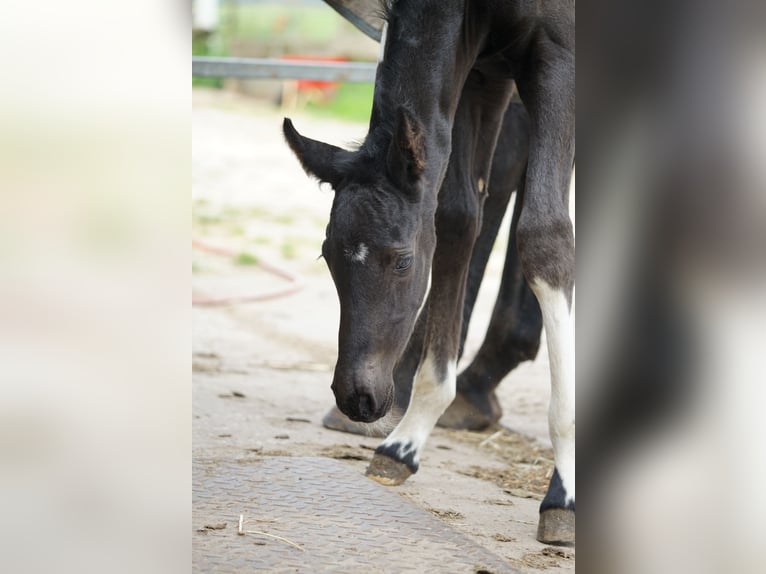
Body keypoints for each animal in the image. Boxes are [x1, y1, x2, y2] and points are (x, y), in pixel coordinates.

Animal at [288, 0, 576, 548]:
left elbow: (545, 234)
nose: (359, 398)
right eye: (327, 257)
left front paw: (564, 494)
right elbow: (459, 216)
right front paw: (405, 441)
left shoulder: (559, 55)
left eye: (402, 260)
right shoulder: (483, 70)